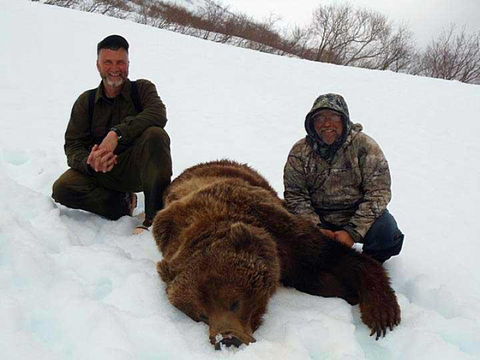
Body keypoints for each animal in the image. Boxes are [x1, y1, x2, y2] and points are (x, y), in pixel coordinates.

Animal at [152, 160, 400, 348]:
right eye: (201, 314)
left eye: (234, 302)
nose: (227, 339)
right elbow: (315, 277)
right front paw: (346, 292)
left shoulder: (281, 231)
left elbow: (337, 258)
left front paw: (381, 312)